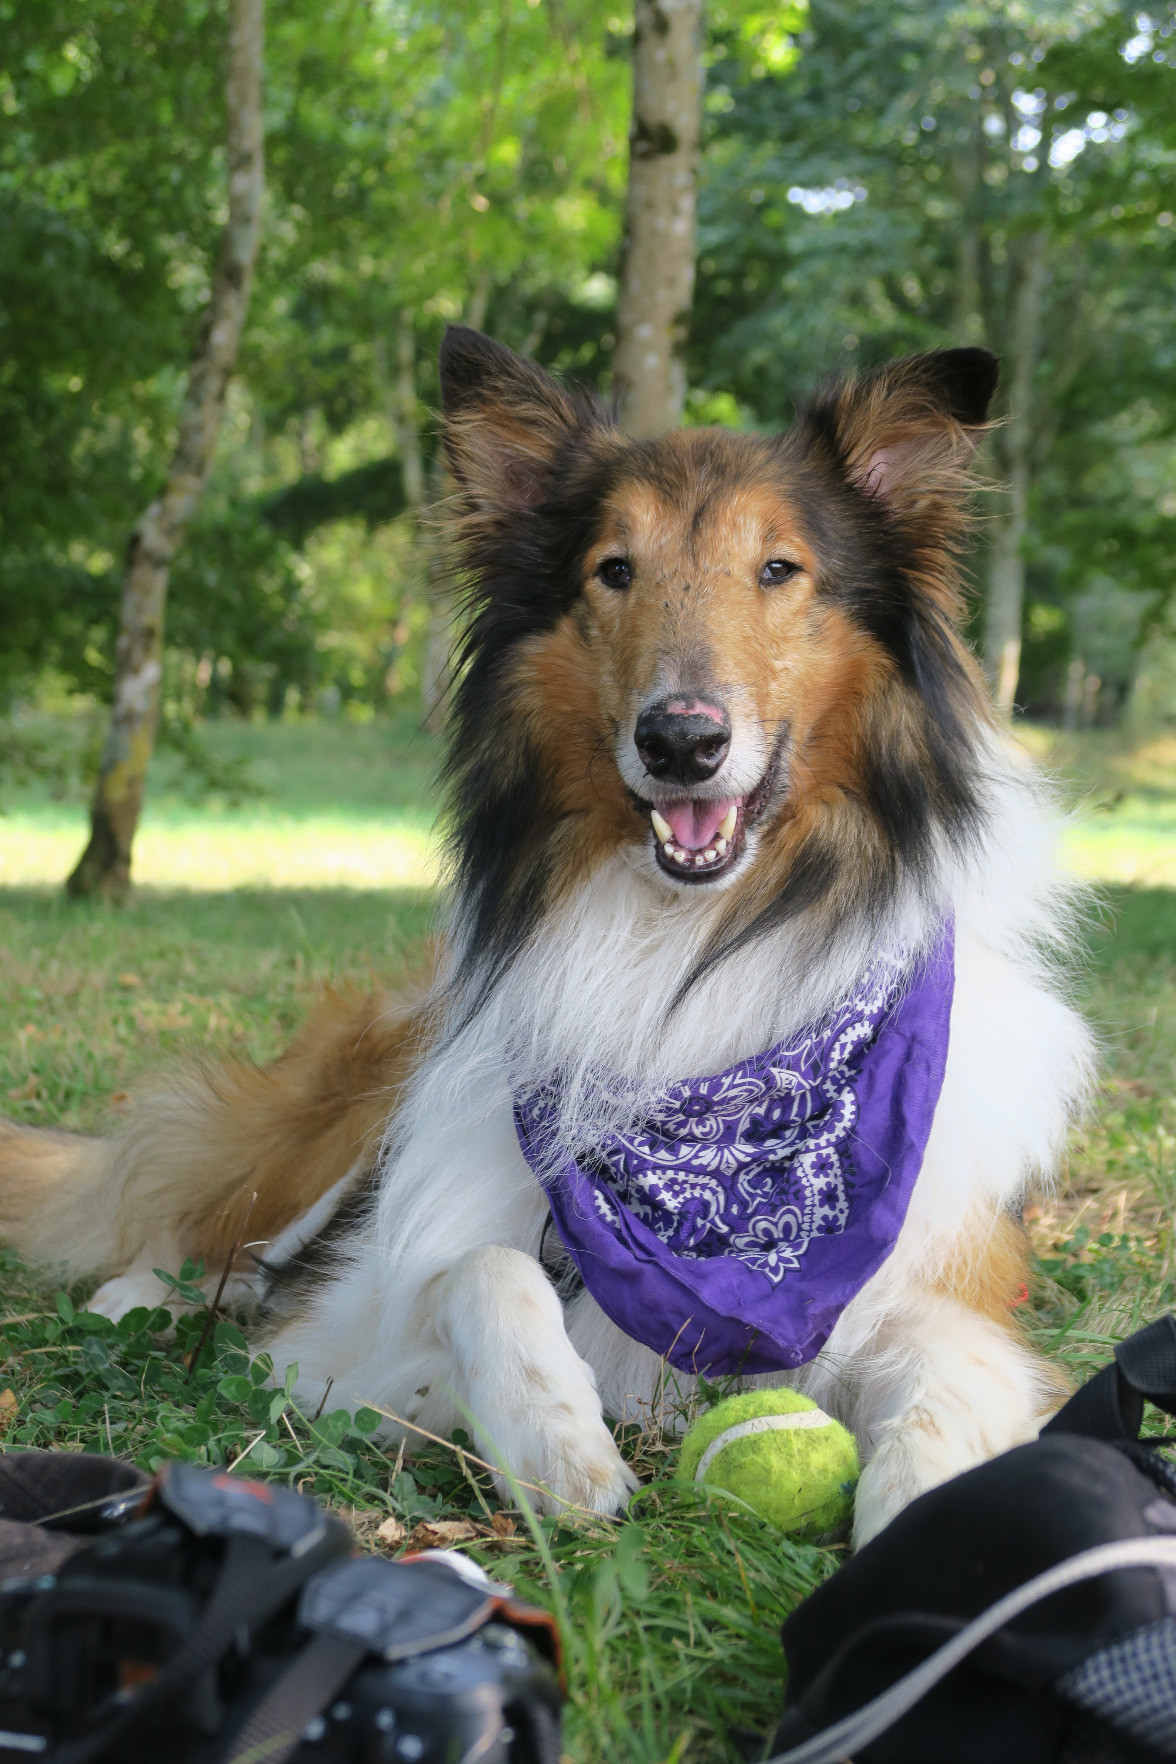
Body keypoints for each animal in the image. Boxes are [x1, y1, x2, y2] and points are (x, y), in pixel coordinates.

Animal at [0, 331, 1093, 1545]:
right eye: (613, 570)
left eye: (780, 569)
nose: (680, 741)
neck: (687, 957)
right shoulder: (333, 1341)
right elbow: (476, 1271)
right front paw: (556, 1441)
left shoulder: (926, 1287)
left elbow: (950, 1373)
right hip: (347, 1124)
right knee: (203, 1227)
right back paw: (138, 1295)